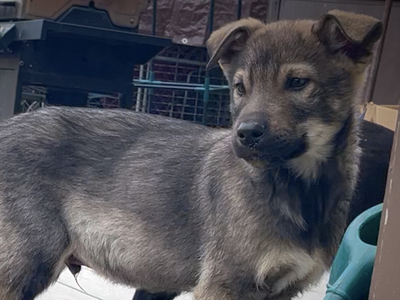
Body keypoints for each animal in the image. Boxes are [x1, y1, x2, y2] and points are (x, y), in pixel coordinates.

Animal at [0, 9, 382, 300]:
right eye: (240, 87)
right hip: (25, 261)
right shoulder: (223, 284)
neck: (301, 188)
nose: (245, 135)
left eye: (298, 83)